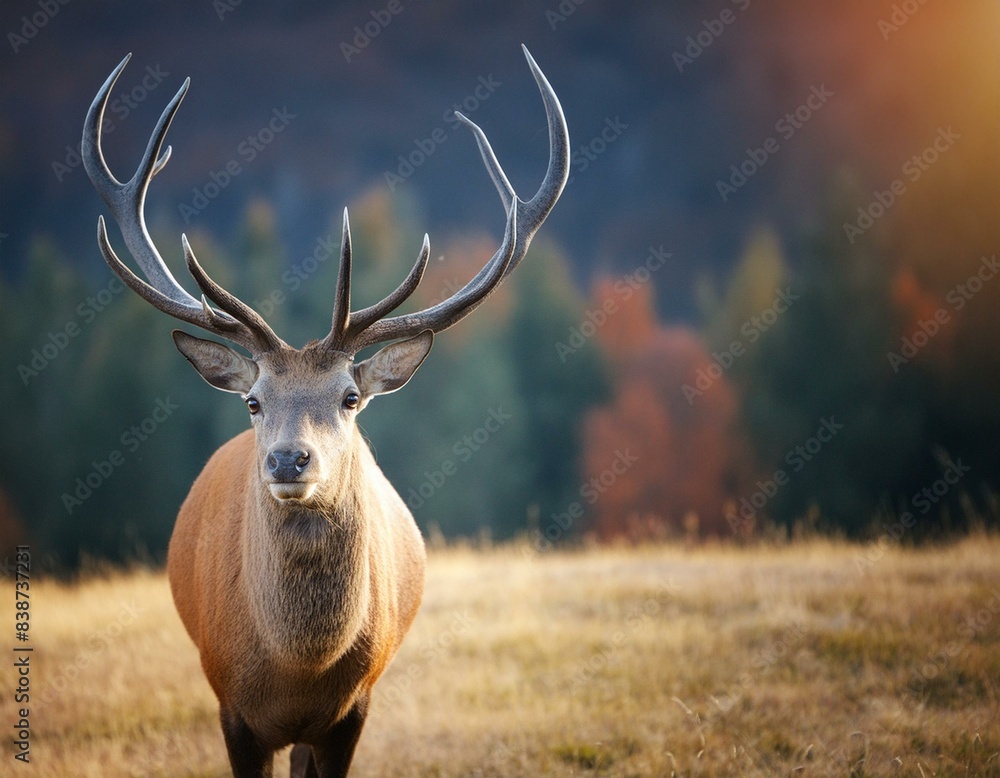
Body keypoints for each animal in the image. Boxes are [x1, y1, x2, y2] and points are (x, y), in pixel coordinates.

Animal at [82, 46, 567, 778]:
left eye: (350, 397)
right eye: (253, 401)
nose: (289, 458)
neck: (297, 671)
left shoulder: (352, 710)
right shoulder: (231, 707)